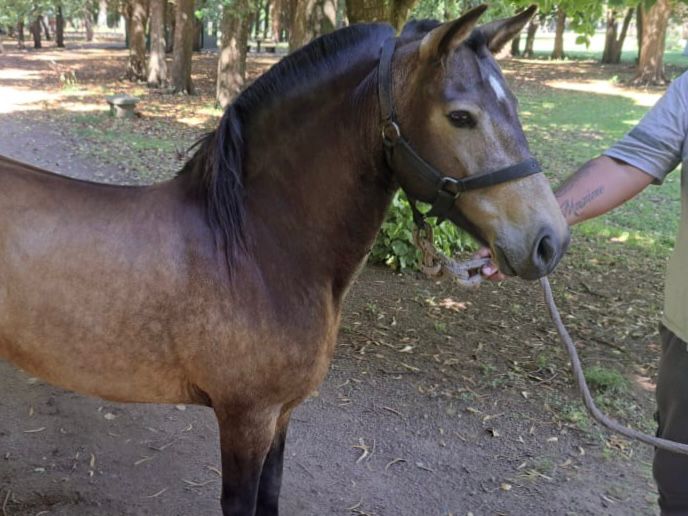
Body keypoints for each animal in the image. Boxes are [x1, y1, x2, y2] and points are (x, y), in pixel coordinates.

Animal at [0, 5, 569, 515]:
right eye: (460, 116)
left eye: (515, 107)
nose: (549, 240)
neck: (255, 250)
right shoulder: (246, 418)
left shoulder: (281, 416)